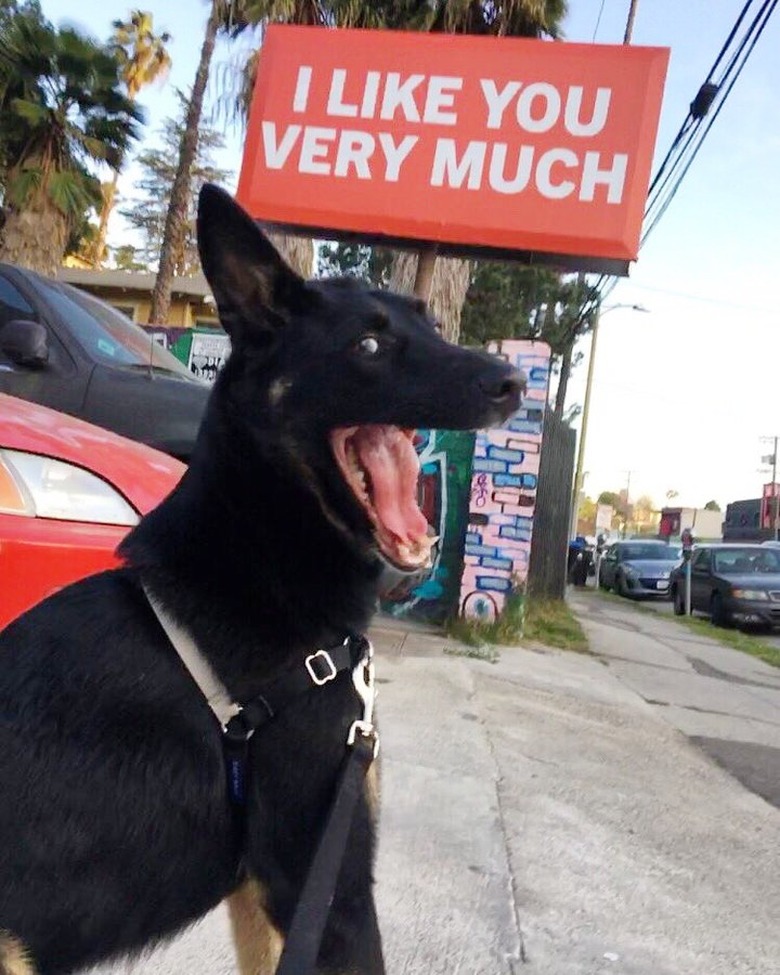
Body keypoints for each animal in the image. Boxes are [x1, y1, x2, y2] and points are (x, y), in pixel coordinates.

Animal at [1, 185, 524, 975]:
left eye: (432, 326)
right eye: (368, 346)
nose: (513, 382)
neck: (258, 552)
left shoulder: (265, 896)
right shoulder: (326, 887)